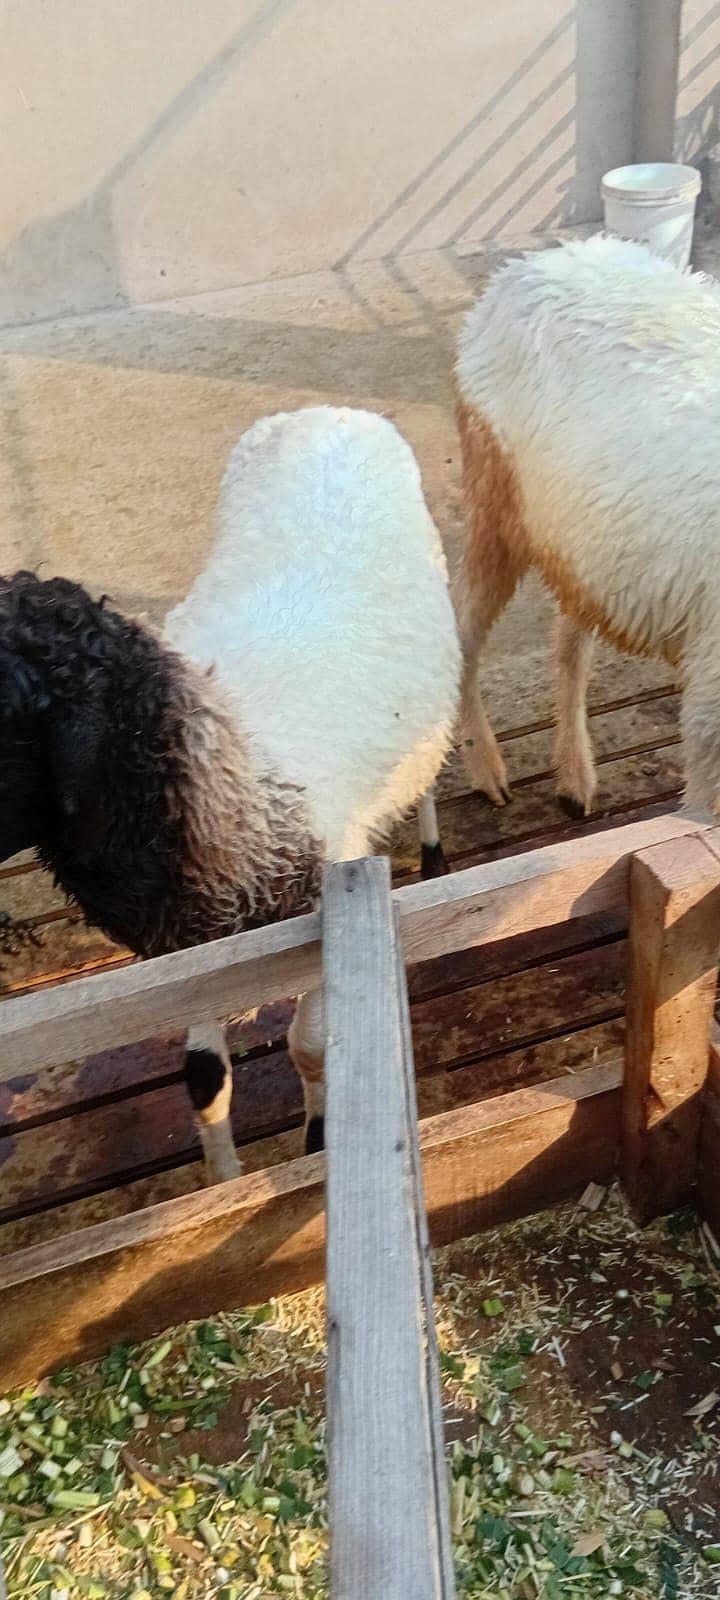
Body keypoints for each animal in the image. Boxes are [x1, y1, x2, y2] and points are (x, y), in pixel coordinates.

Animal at [0, 406, 460, 1184]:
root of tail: (327, 414)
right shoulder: (189, 955)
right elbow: (202, 1077)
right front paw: (222, 1184)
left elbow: (313, 1046)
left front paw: (316, 1142)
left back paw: (430, 852)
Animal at [452, 232, 720, 821]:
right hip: (495, 497)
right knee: (462, 625)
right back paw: (487, 771)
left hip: (585, 540)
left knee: (569, 641)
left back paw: (575, 779)